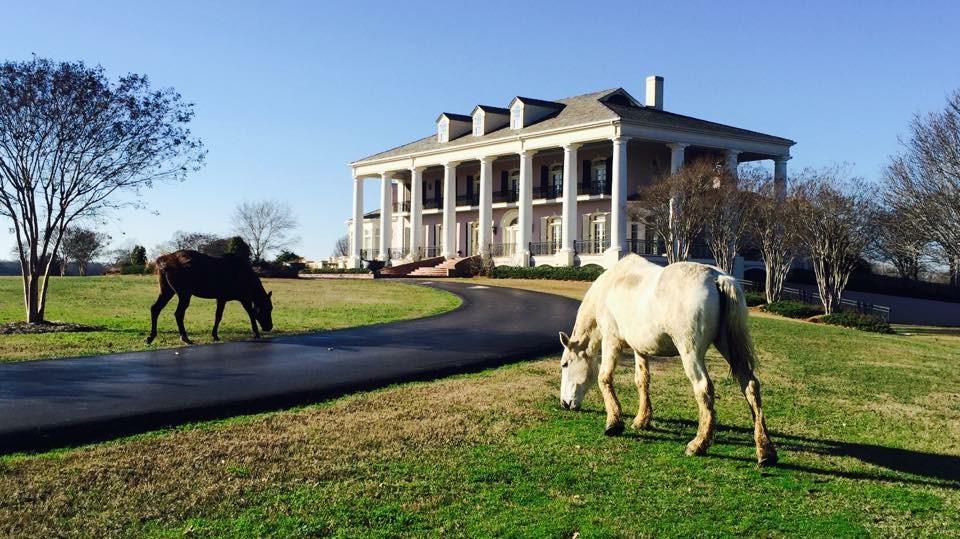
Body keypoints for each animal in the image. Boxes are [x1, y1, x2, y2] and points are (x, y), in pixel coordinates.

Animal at [146, 250, 274, 346]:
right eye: (268, 309)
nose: (269, 327)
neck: (242, 274)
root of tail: (165, 260)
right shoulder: (230, 298)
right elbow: (223, 316)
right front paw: (215, 335)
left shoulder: (236, 299)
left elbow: (246, 313)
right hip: (184, 294)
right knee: (178, 314)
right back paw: (185, 338)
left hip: (167, 292)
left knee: (155, 309)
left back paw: (151, 337)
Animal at [560, 255, 776, 466]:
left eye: (565, 364)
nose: (564, 403)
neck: (611, 285)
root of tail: (717, 278)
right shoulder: (639, 348)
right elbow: (642, 380)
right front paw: (642, 420)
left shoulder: (611, 340)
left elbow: (604, 377)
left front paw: (614, 423)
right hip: (727, 345)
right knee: (750, 384)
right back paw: (765, 451)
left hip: (690, 352)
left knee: (704, 387)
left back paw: (698, 444)